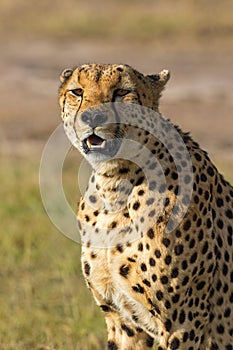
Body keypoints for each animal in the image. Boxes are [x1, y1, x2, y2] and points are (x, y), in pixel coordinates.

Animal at [58, 64, 233, 348]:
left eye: (122, 92)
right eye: (77, 91)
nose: (92, 117)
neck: (114, 186)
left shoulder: (183, 323)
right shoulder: (122, 321)